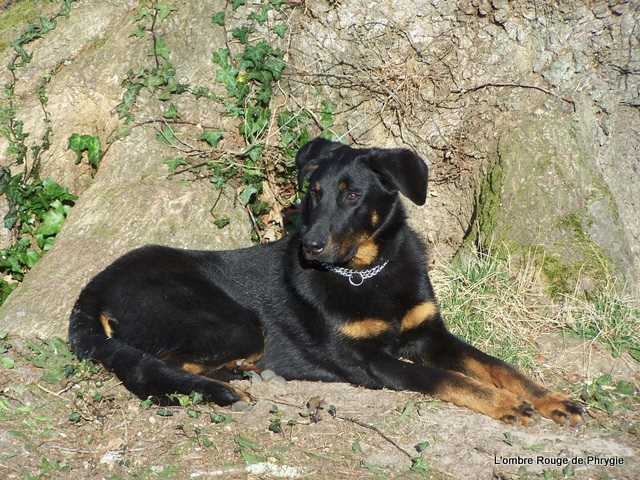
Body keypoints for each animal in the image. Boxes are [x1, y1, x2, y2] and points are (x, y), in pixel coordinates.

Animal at [70, 137, 584, 426]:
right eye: (314, 193)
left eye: (352, 195)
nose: (310, 245)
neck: (365, 272)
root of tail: (94, 287)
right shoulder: (370, 362)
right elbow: (448, 379)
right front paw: (506, 405)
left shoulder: (430, 334)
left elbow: (499, 366)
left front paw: (549, 398)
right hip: (235, 322)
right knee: (158, 362)